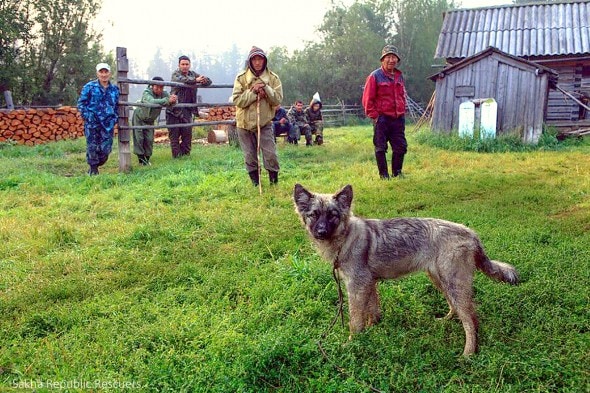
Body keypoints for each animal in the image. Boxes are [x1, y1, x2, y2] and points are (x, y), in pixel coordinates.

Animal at [294, 184, 520, 356]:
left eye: (332, 215)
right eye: (314, 215)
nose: (321, 232)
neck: (346, 238)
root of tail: (471, 233)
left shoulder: (357, 285)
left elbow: (355, 321)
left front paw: (351, 344)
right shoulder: (369, 283)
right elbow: (372, 312)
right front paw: (372, 331)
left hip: (453, 283)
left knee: (471, 319)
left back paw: (468, 354)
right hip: (440, 280)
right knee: (456, 308)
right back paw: (445, 320)